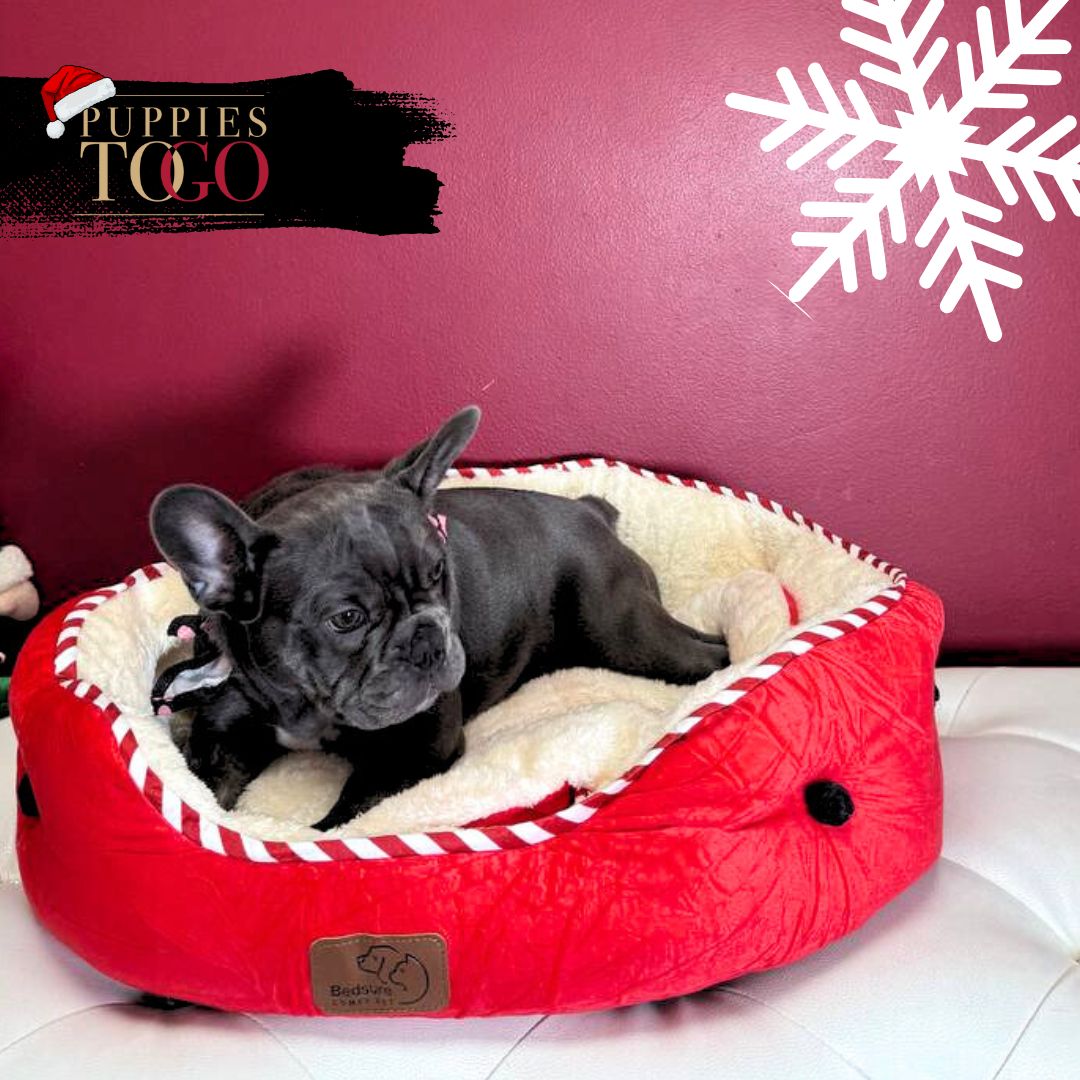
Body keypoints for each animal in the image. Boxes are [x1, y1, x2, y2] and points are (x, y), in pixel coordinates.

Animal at [150, 406, 729, 830]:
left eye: (437, 572)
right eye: (347, 619)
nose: (428, 637)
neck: (307, 709)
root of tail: (591, 511)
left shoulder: (413, 751)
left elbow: (339, 822)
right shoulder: (223, 736)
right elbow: (208, 792)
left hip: (624, 633)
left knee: (713, 653)